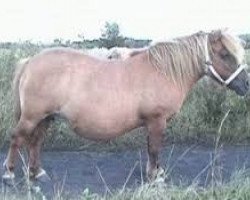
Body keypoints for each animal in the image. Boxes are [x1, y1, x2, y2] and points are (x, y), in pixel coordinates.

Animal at [1, 28, 248, 180]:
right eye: (225, 54)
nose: (246, 84)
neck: (163, 72)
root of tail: (30, 61)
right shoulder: (157, 121)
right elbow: (154, 148)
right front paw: (156, 176)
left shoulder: (153, 123)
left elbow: (150, 148)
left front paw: (153, 173)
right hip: (32, 117)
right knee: (17, 138)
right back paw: (10, 173)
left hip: (46, 117)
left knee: (36, 142)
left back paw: (37, 173)